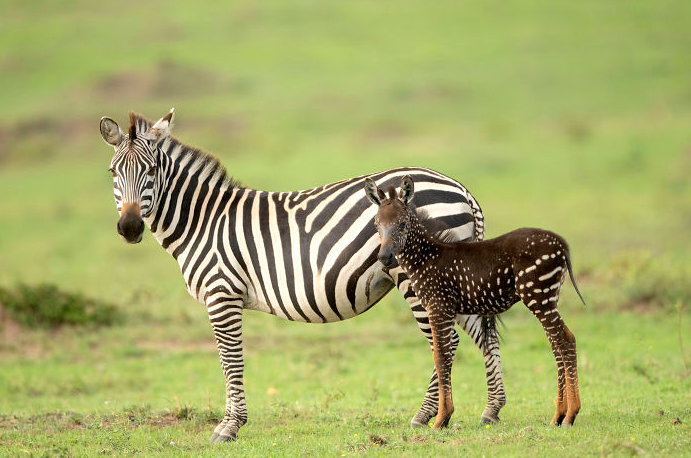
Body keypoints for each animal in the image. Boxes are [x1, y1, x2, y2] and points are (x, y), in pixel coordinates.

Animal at [97, 107, 508, 440]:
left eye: (151, 171)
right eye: (113, 172)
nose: (130, 227)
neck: (203, 221)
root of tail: (459, 187)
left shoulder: (222, 294)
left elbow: (230, 359)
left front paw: (229, 427)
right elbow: (227, 359)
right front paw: (230, 422)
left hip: (420, 275)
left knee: (446, 341)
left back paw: (431, 416)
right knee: (480, 336)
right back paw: (489, 411)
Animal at [364, 175, 588, 430]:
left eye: (402, 224)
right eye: (376, 225)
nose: (384, 258)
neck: (426, 257)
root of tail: (562, 244)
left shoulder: (439, 307)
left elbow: (441, 357)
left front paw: (441, 418)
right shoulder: (445, 309)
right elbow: (443, 355)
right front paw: (444, 416)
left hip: (538, 295)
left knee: (565, 340)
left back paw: (570, 414)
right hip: (547, 298)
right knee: (557, 342)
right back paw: (559, 415)